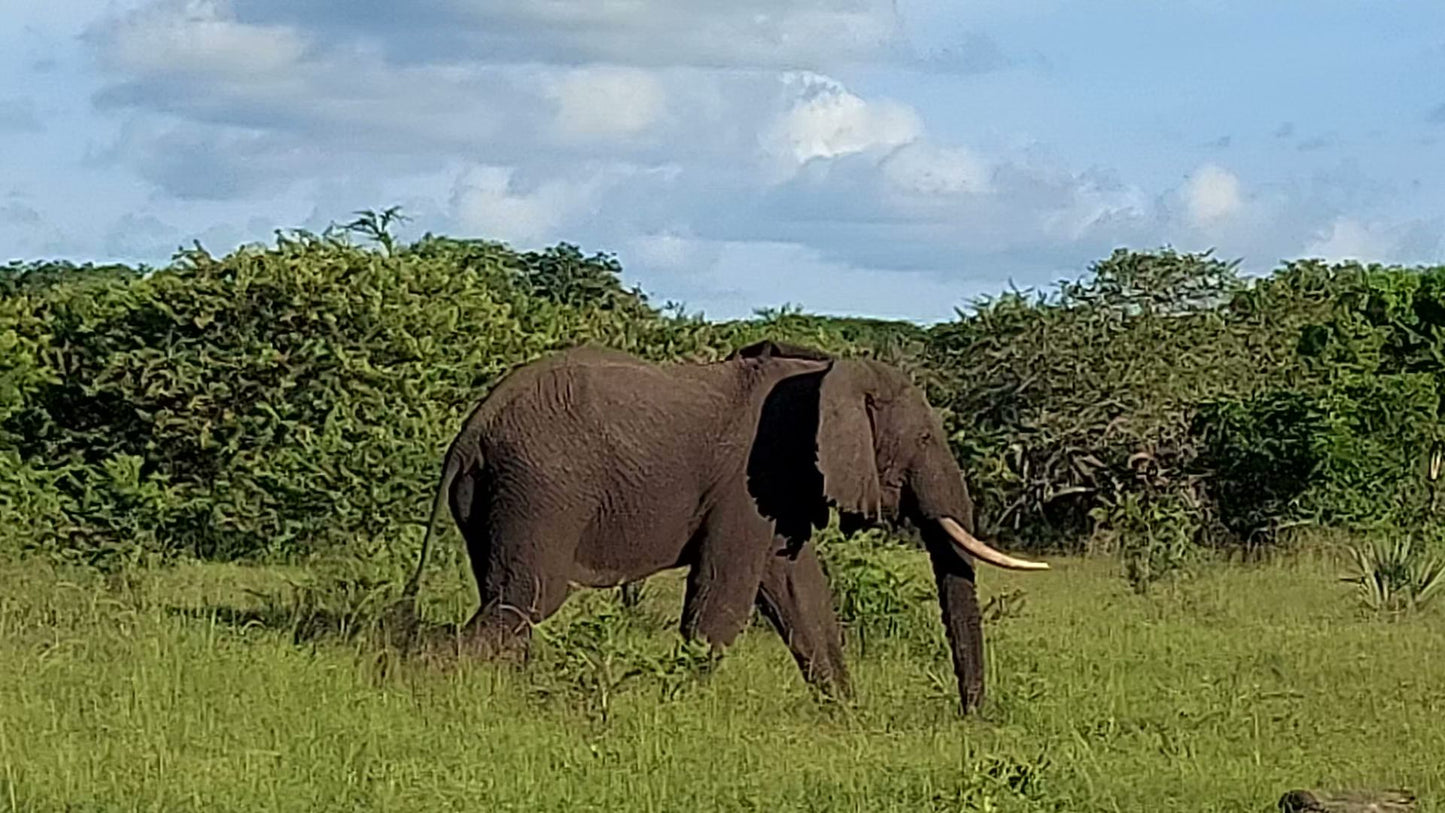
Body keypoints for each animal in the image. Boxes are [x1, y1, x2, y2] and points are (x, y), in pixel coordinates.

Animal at [401, 340, 1046, 716]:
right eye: (925, 439)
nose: (969, 717)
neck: (823, 372)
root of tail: (470, 430)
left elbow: (800, 596)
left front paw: (847, 718)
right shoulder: (749, 483)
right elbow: (723, 600)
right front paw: (672, 709)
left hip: (499, 494)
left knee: (505, 601)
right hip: (540, 489)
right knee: (524, 600)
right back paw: (419, 683)